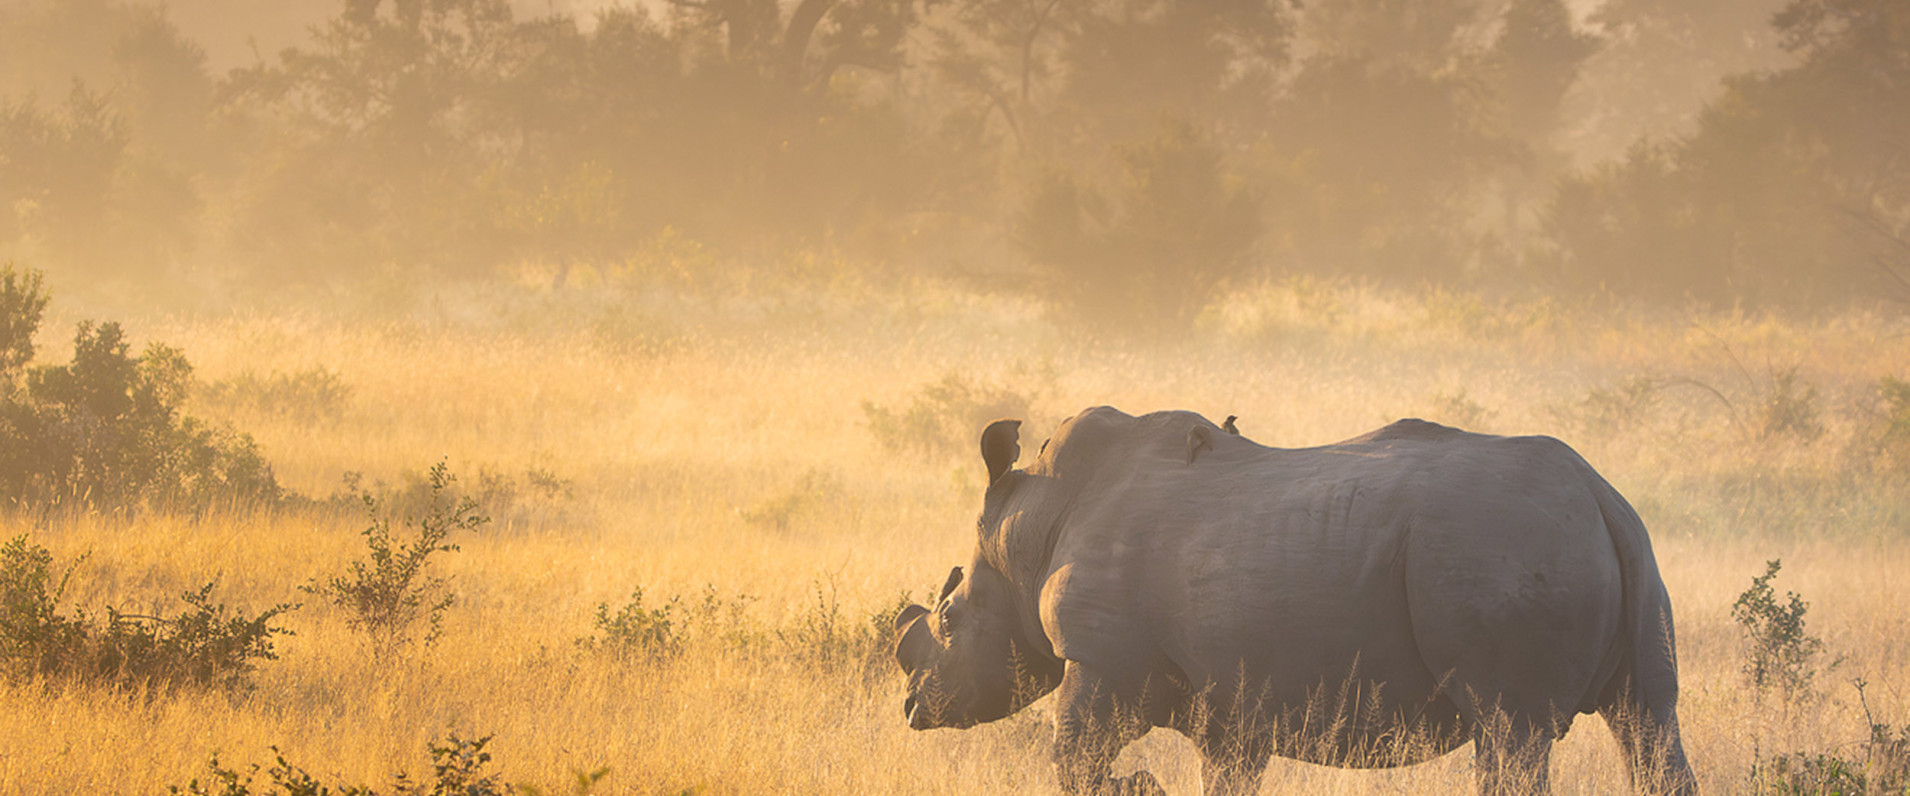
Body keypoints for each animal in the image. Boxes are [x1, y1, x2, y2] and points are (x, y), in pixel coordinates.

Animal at [894, 407, 1695, 796]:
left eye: (949, 620)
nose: (912, 709)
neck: (1026, 532)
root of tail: (1595, 492)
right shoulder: (1229, 701)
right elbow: (1225, 776)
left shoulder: (1101, 658)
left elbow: (1072, 757)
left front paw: (1142, 784)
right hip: (1615, 548)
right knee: (1647, 718)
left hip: (1497, 545)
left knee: (1510, 733)